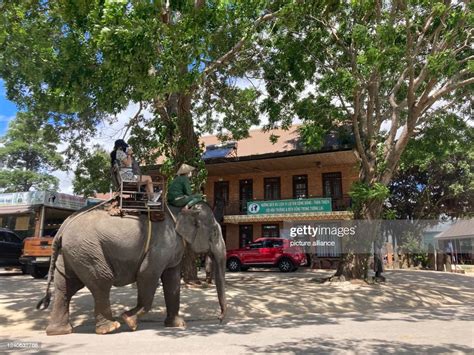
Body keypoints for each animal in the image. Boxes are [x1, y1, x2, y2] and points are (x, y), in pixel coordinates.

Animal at [37, 203, 226, 336]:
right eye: (215, 233)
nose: (220, 319)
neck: (180, 210)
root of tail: (62, 227)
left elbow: (172, 281)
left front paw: (177, 325)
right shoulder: (161, 246)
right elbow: (147, 274)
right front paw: (129, 321)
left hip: (71, 253)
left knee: (65, 286)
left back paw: (59, 332)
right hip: (87, 251)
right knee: (102, 281)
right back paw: (110, 328)